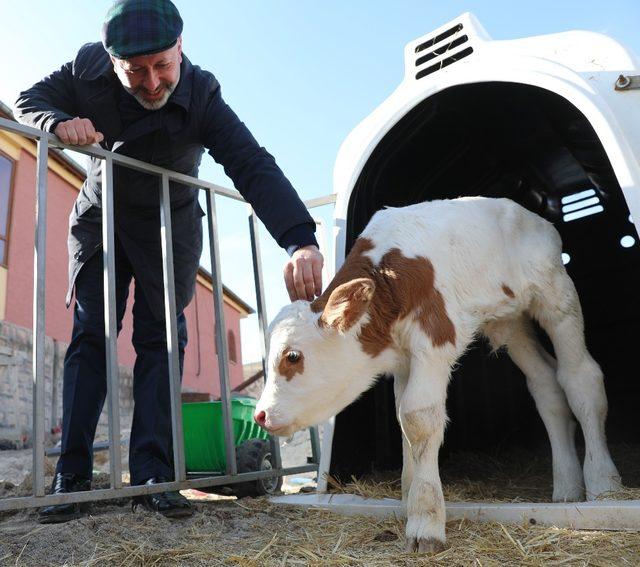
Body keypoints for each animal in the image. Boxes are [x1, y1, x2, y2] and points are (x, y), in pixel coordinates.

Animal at [254, 197, 620, 552]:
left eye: (292, 356)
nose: (261, 414)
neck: (388, 276)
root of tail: (531, 216)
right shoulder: (403, 360)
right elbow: (403, 420)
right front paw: (408, 498)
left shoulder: (433, 341)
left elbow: (418, 418)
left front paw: (425, 521)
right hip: (511, 322)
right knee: (546, 384)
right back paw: (567, 487)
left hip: (557, 296)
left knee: (579, 377)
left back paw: (603, 483)